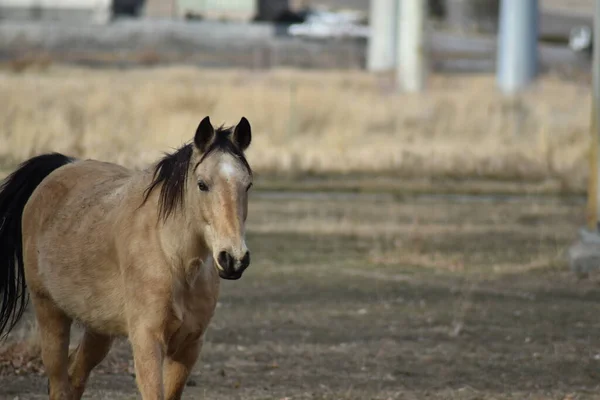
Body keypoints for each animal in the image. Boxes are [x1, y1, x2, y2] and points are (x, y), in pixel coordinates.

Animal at [0, 115, 251, 396]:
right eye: (202, 185)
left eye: (248, 185)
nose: (234, 259)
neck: (173, 258)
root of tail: (64, 165)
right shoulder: (147, 342)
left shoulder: (189, 346)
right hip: (50, 314)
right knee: (59, 384)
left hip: (98, 330)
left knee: (75, 377)